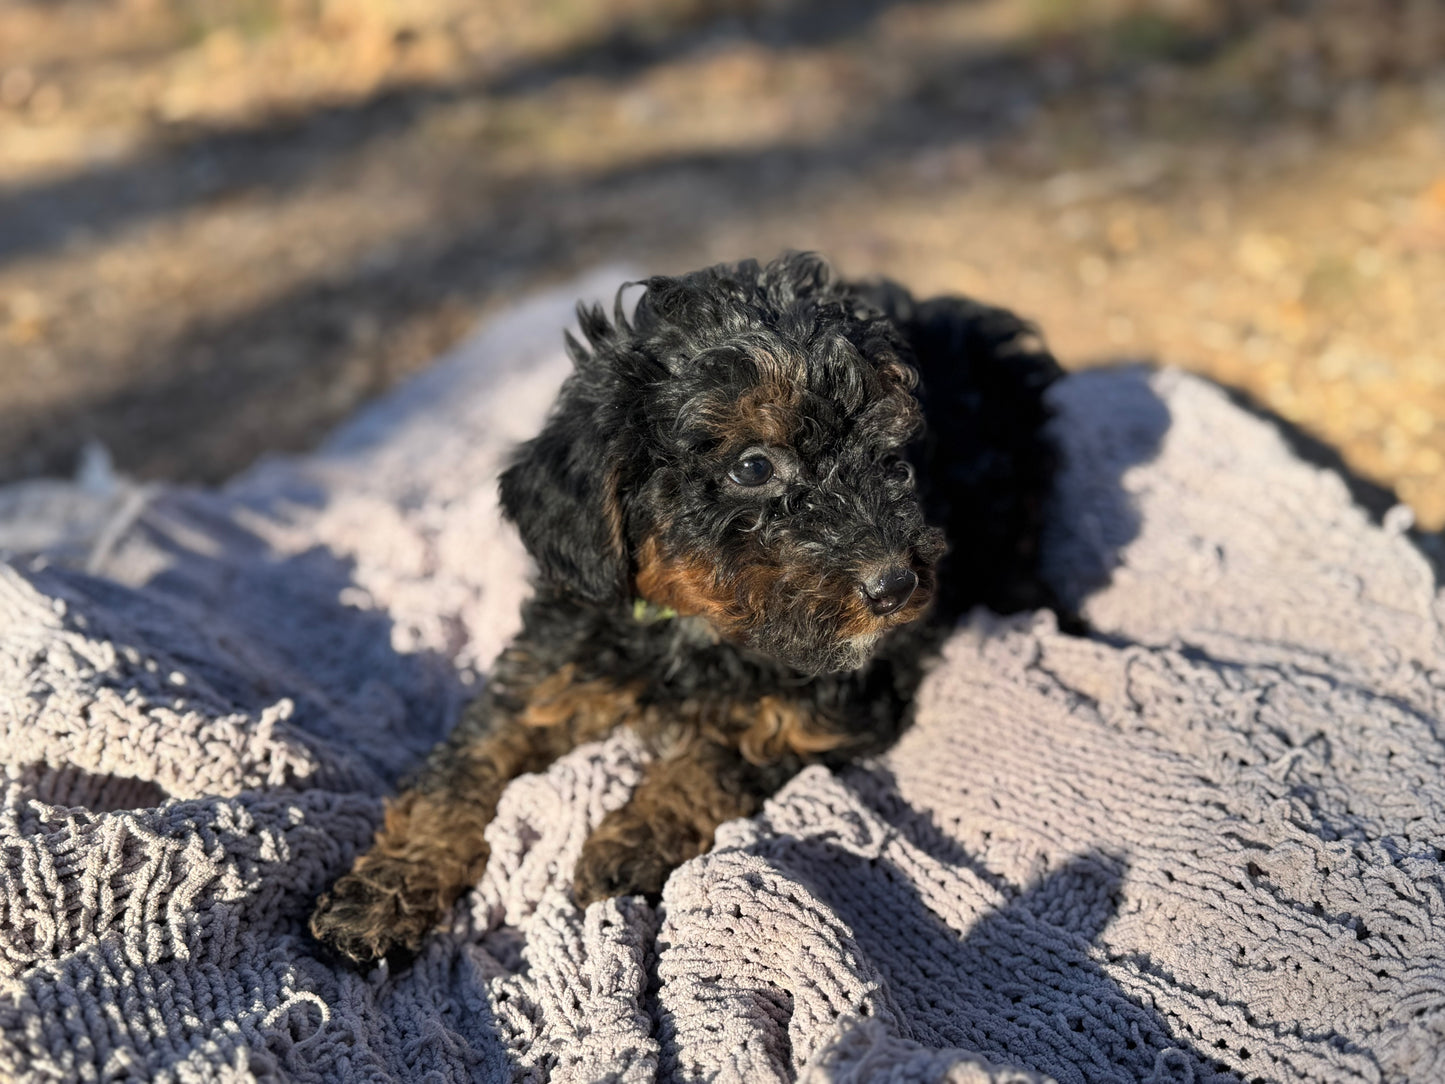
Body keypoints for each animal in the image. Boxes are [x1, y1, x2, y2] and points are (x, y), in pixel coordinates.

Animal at [310, 252, 1057, 965]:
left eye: (893, 458)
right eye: (753, 467)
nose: (897, 586)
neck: (695, 627)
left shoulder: (826, 712)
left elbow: (716, 756)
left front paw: (628, 843)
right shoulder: (546, 668)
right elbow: (462, 769)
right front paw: (384, 892)